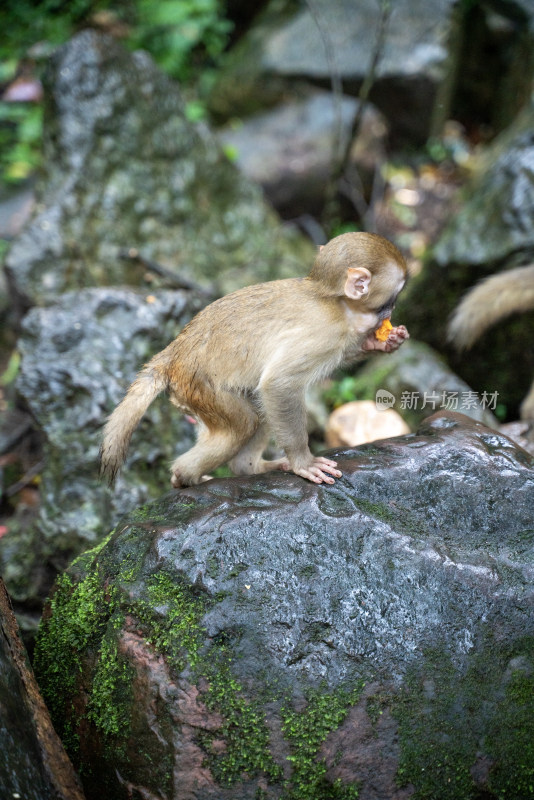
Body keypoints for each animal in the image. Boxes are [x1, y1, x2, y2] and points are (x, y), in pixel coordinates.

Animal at [100, 231, 410, 488]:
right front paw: (304, 462)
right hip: (200, 388)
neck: (333, 300)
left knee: (258, 415)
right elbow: (279, 384)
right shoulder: (323, 333)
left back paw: (248, 468)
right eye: (393, 296)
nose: (391, 311)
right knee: (244, 423)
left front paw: (382, 343)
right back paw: (185, 476)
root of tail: (172, 354)